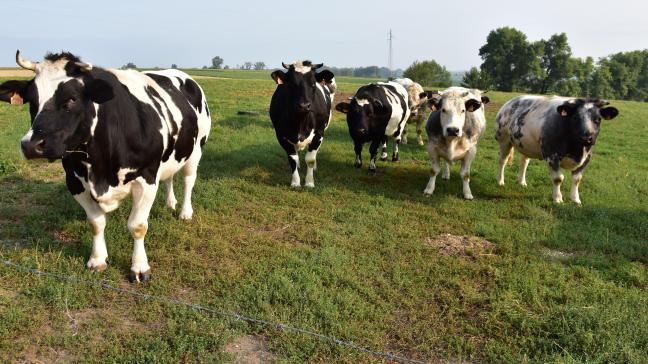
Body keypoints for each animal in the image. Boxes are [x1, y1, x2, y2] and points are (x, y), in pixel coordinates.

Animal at [0, 50, 211, 282]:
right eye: (31, 100)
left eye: (71, 99)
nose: (31, 145)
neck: (100, 167)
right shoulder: (74, 181)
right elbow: (96, 223)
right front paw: (97, 260)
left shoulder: (146, 177)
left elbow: (137, 226)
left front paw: (139, 268)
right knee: (169, 176)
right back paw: (170, 203)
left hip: (196, 149)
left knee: (188, 179)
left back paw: (185, 212)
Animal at [268, 60, 334, 188]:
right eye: (292, 83)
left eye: (313, 84)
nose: (304, 105)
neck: (300, 121)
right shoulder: (281, 136)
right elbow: (292, 159)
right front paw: (295, 182)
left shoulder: (319, 134)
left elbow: (310, 159)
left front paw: (309, 182)